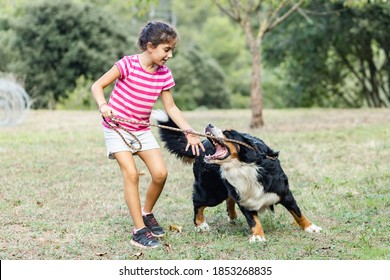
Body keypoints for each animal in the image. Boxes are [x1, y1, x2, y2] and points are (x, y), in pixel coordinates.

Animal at [154, 110, 322, 242]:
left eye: (228, 133)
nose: (209, 125)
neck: (244, 167)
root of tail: (202, 144)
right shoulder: (245, 199)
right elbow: (253, 220)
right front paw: (258, 236)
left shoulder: (284, 192)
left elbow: (297, 212)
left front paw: (310, 227)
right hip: (212, 192)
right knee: (198, 202)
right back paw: (200, 224)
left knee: (228, 199)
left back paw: (232, 216)